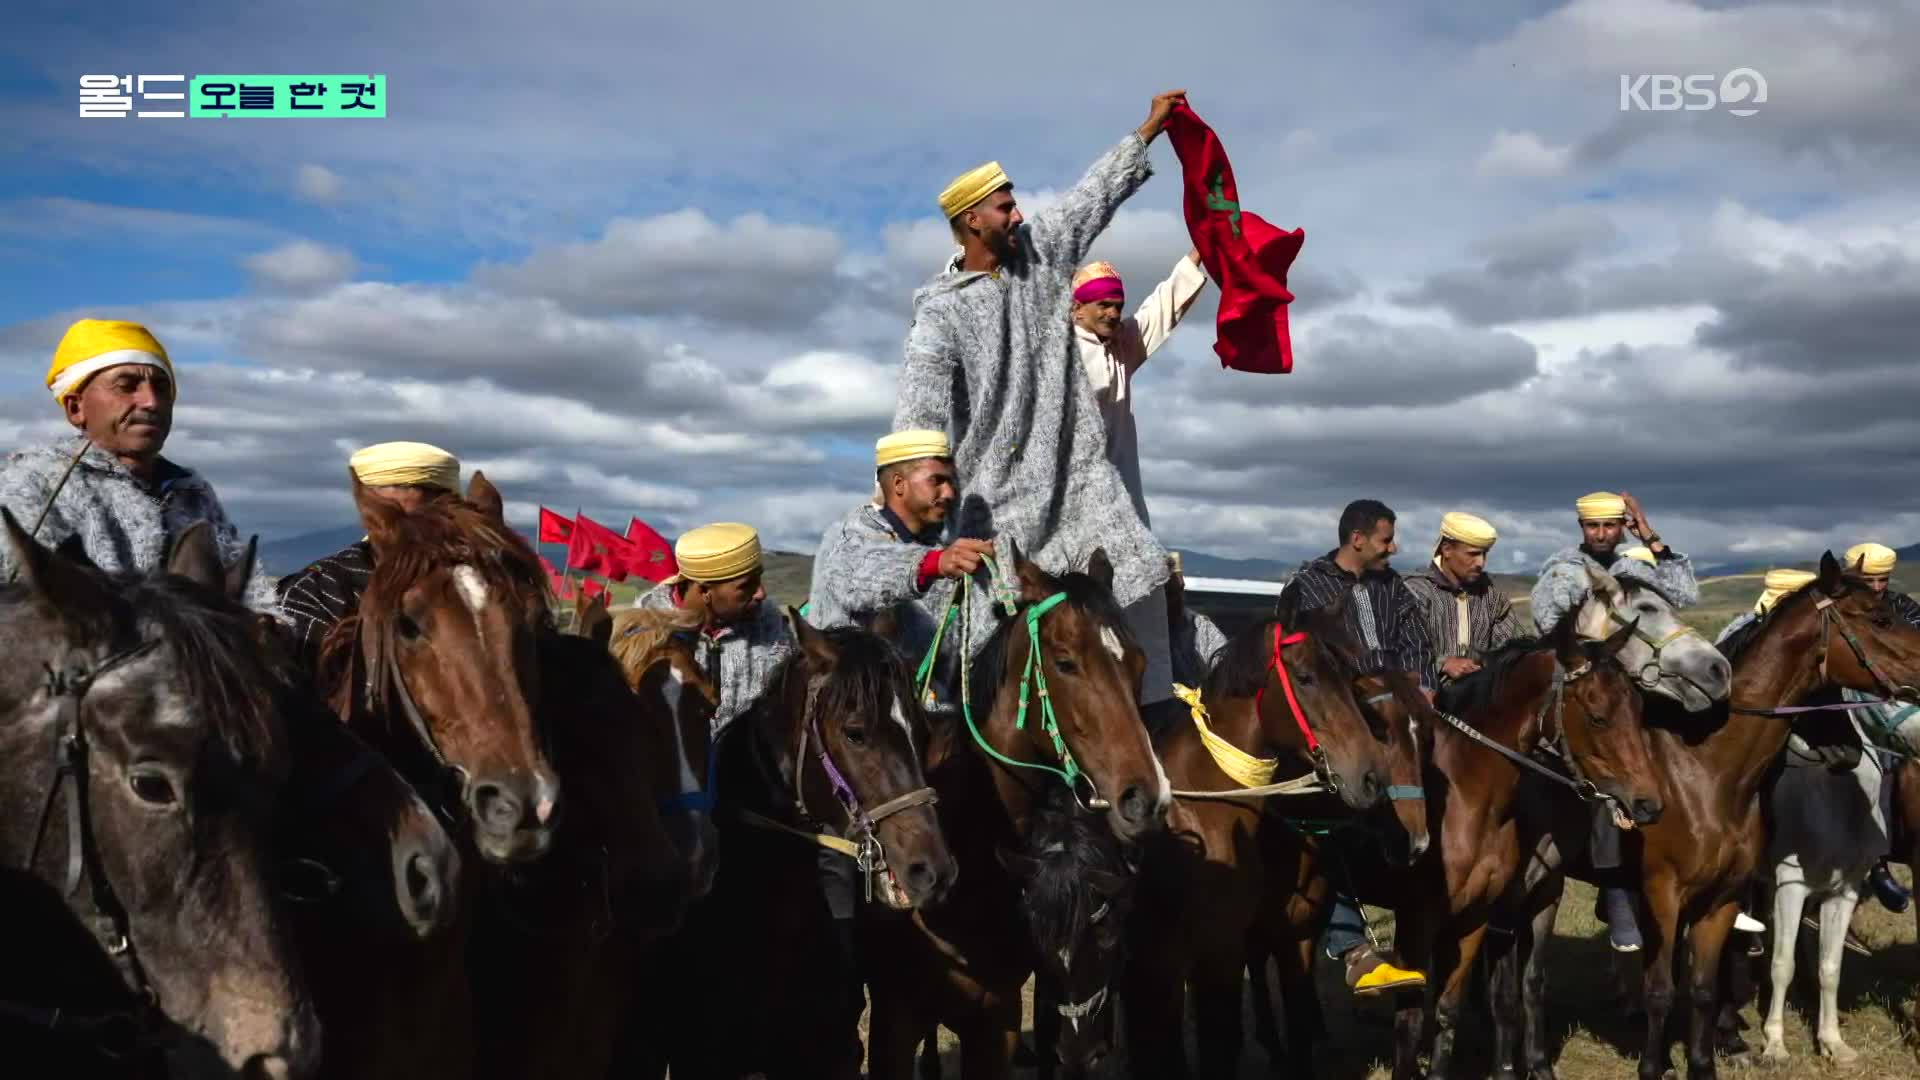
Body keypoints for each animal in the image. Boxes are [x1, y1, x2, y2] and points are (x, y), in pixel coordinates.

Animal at [1766, 699, 1920, 1060]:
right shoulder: (1789, 886)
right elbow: (1781, 965)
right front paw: (1775, 1043)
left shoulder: (1842, 892)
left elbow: (1831, 967)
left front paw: (1832, 1042)